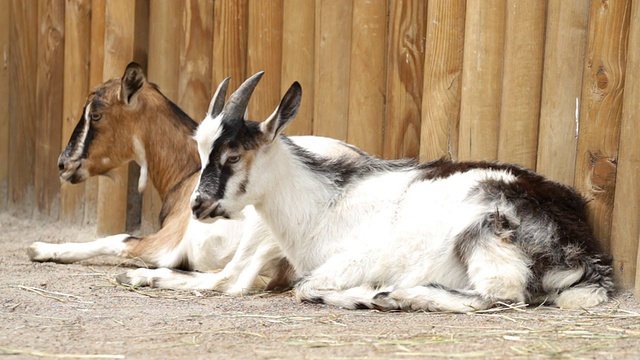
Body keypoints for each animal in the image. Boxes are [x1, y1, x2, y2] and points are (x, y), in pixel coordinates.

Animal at [27, 63, 364, 294]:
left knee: (230, 280)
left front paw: (41, 248)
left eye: (96, 115)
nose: (63, 164)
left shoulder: (165, 245)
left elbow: (117, 239)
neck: (186, 174)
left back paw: (139, 276)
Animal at [190, 71, 616, 310]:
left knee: (500, 295)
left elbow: (305, 287)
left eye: (233, 156)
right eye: (201, 151)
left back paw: (400, 296)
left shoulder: (358, 257)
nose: (197, 205)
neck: (324, 204)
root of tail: (584, 250)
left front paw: (365, 295)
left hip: (482, 232)